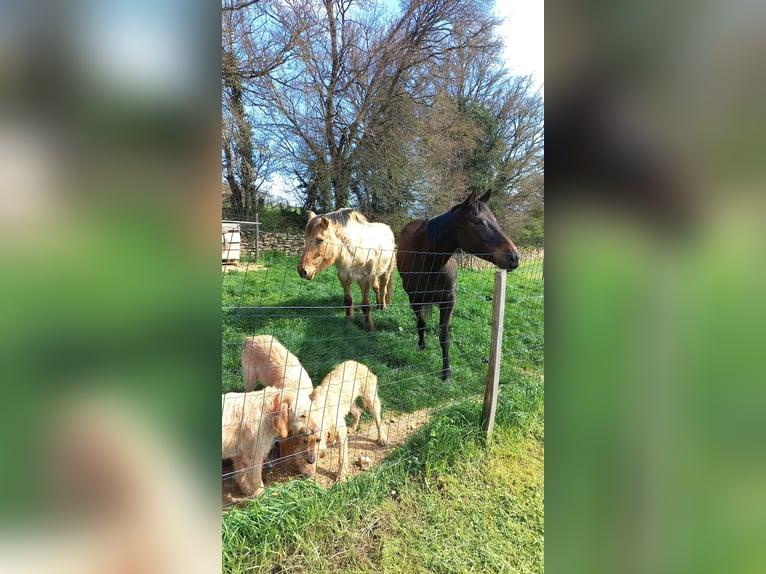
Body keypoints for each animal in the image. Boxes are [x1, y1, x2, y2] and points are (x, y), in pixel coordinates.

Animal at [396, 191, 520, 384]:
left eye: (495, 220)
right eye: (477, 221)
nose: (514, 257)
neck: (430, 262)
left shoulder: (448, 302)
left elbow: (444, 338)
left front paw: (446, 373)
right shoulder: (414, 299)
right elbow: (421, 324)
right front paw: (422, 346)